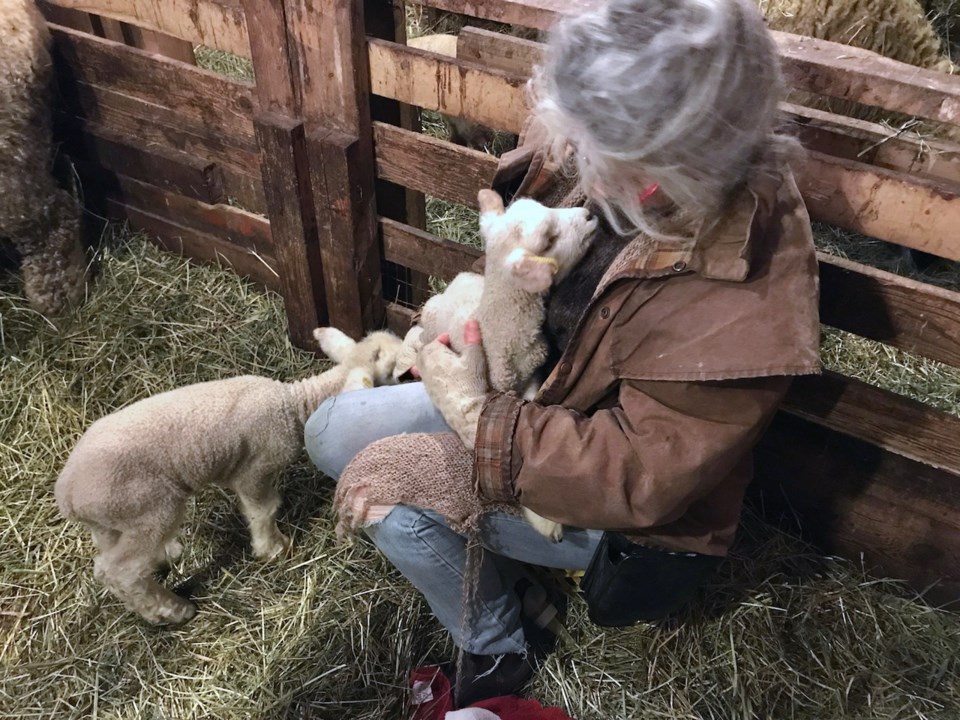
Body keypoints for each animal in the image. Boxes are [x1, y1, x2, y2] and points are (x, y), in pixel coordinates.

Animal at [56, 326, 404, 624]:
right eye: (393, 374)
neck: (292, 404)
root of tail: (67, 494)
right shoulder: (256, 469)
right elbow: (263, 509)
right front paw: (273, 548)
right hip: (149, 509)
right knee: (119, 572)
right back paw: (170, 611)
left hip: (113, 518)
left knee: (114, 553)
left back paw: (165, 554)